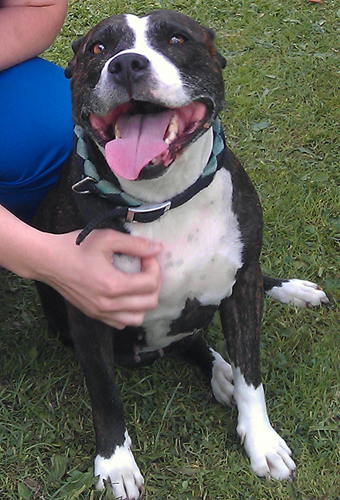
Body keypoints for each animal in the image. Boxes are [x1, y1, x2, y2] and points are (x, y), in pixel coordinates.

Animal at [33, 9, 328, 498]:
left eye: (176, 39)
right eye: (99, 48)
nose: (126, 65)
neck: (161, 200)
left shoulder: (242, 287)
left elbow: (252, 374)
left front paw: (262, 440)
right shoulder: (87, 311)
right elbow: (104, 394)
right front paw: (116, 463)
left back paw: (285, 298)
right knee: (190, 344)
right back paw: (219, 369)